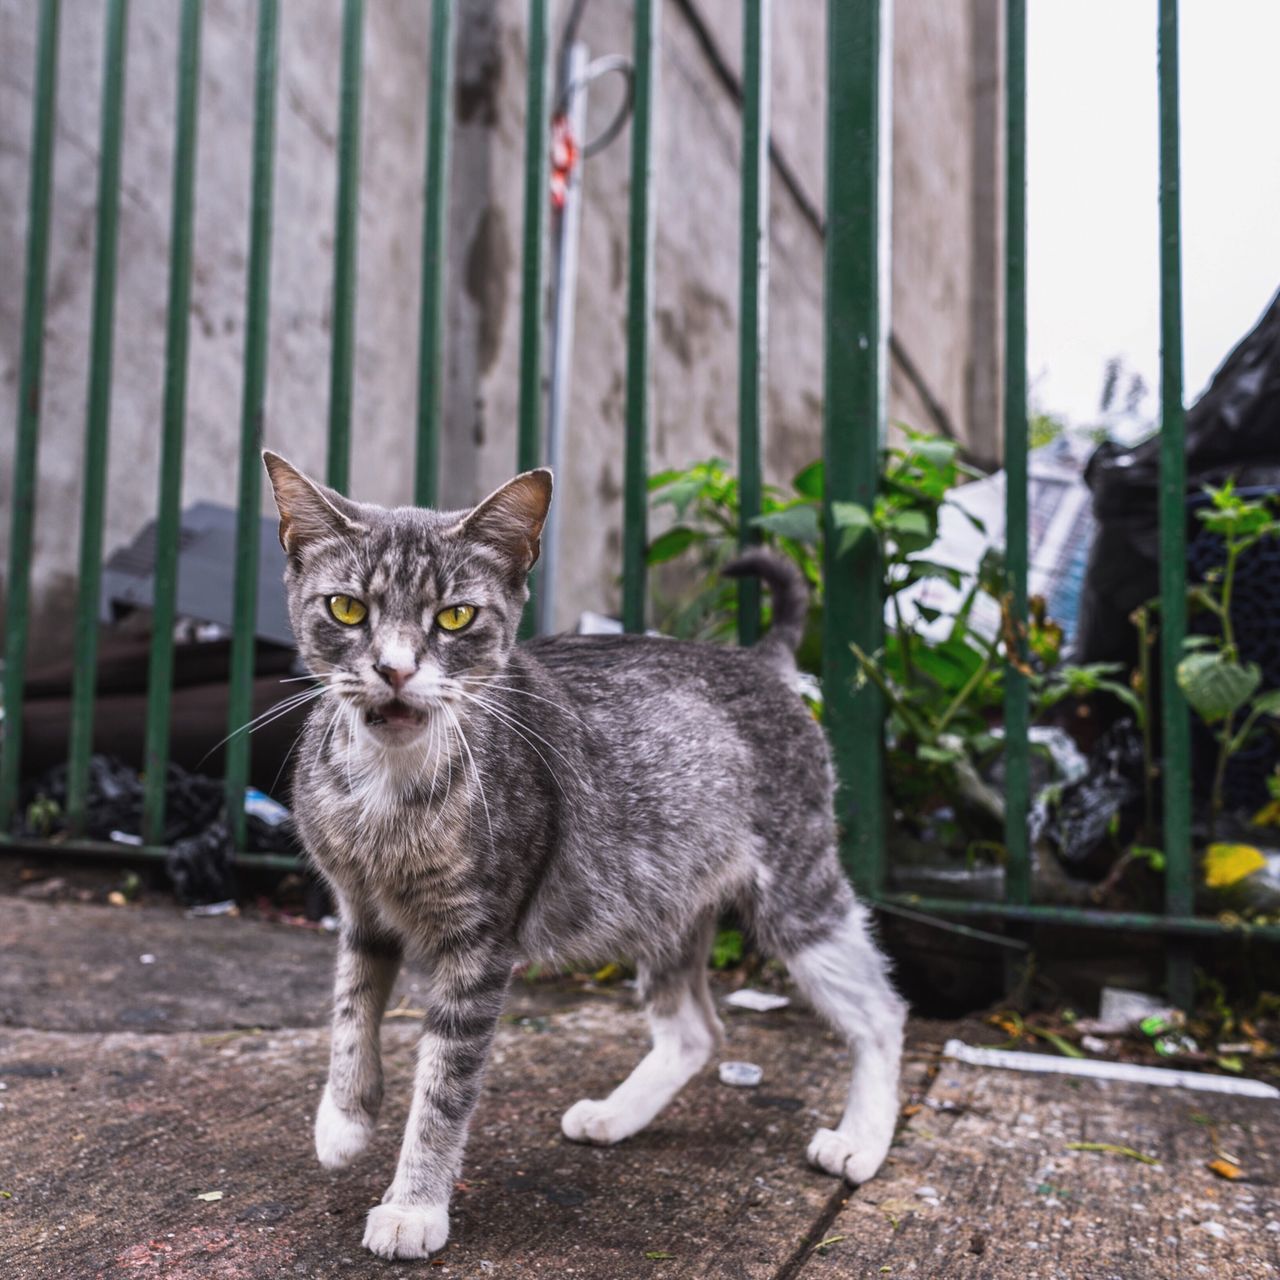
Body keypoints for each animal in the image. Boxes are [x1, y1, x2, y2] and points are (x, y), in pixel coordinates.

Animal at [262, 450, 901, 1259]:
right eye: (346, 609)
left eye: (456, 616)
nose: (395, 670)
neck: (388, 789)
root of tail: (763, 660)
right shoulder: (360, 911)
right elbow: (351, 1010)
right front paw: (343, 1121)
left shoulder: (481, 946)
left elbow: (444, 1085)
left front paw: (413, 1208)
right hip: (657, 899)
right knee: (695, 1031)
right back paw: (615, 1115)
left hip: (797, 889)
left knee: (881, 1011)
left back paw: (860, 1141)